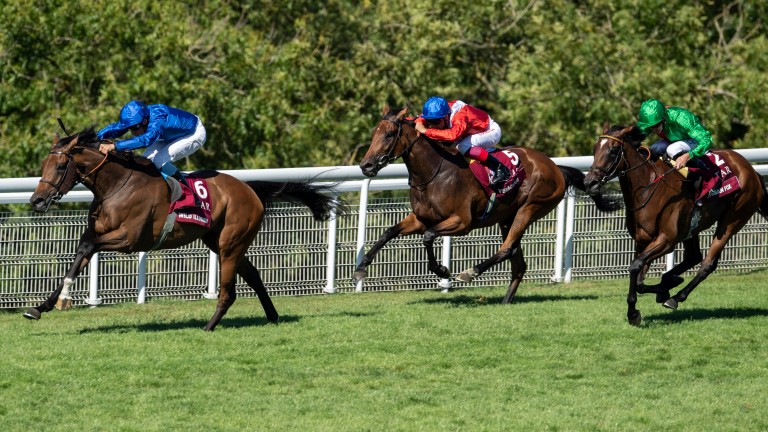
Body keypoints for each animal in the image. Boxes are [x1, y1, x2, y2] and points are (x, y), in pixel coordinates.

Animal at [24, 128, 342, 330]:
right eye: (44, 164)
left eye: (61, 165)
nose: (36, 200)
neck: (116, 185)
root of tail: (249, 189)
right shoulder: (95, 233)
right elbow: (79, 254)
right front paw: (40, 307)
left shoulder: (128, 239)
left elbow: (86, 250)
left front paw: (61, 300)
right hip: (220, 241)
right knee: (252, 275)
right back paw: (273, 317)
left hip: (230, 243)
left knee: (229, 291)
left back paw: (208, 327)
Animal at [356, 105, 620, 302]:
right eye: (373, 133)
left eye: (389, 134)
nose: (366, 165)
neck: (433, 173)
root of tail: (555, 167)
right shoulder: (421, 218)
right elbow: (388, 232)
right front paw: (361, 267)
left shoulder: (461, 222)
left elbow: (429, 237)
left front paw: (442, 270)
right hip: (507, 217)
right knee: (517, 262)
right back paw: (505, 301)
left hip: (531, 207)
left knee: (507, 248)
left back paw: (470, 272)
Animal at [584, 123, 768, 326]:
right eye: (594, 148)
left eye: (613, 150)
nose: (589, 182)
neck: (647, 187)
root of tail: (751, 170)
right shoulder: (642, 240)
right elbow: (638, 278)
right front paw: (658, 292)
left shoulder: (666, 240)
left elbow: (635, 266)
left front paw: (635, 312)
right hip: (691, 228)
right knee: (694, 256)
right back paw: (669, 281)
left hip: (731, 222)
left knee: (707, 264)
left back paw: (676, 297)